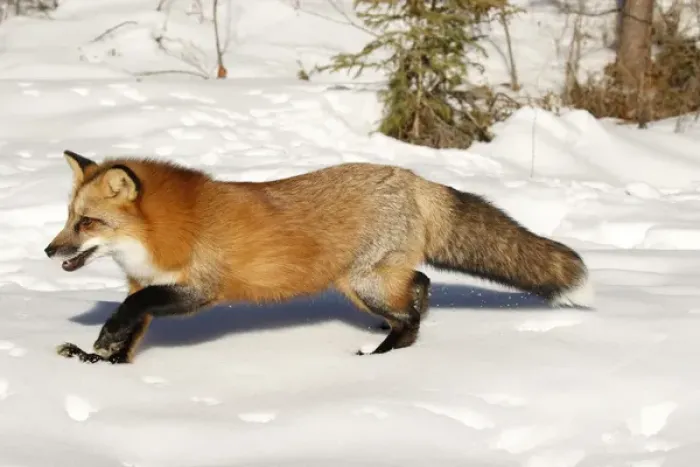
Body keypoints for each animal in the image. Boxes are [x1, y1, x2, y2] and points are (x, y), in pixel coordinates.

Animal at [45, 149, 593, 365]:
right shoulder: (145, 283)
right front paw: (102, 363)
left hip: (363, 283)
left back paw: (384, 355)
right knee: (420, 284)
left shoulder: (197, 288)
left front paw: (102, 344)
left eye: (87, 223)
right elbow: (130, 329)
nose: (50, 250)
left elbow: (129, 313)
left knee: (415, 303)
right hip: (368, 282)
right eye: (68, 217)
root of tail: (412, 177)